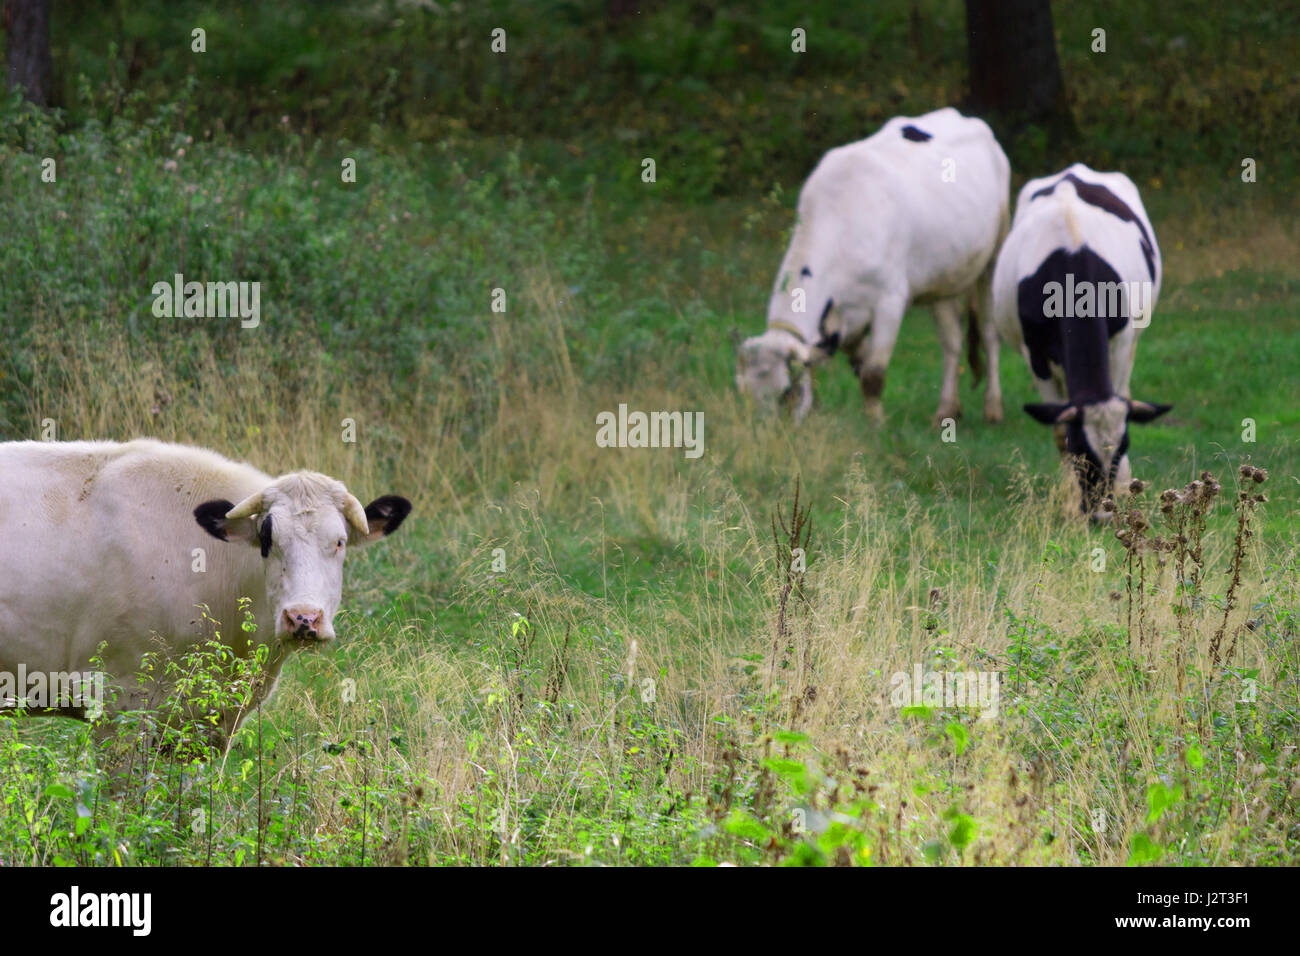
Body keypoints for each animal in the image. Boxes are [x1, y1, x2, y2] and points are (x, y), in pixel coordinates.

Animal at [735, 107, 1010, 425]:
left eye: (786, 393)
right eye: (745, 395)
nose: (765, 433)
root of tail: (963, 117)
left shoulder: (890, 301)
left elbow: (873, 373)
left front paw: (876, 422)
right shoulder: (844, 319)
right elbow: (857, 360)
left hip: (992, 261)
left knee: (990, 335)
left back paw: (993, 407)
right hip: (943, 277)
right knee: (951, 342)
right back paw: (946, 409)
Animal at [990, 163, 1171, 519]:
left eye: (1123, 448)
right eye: (1079, 449)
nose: (1101, 513)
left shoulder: (1120, 341)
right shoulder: (1036, 355)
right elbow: (1058, 425)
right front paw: (1071, 499)